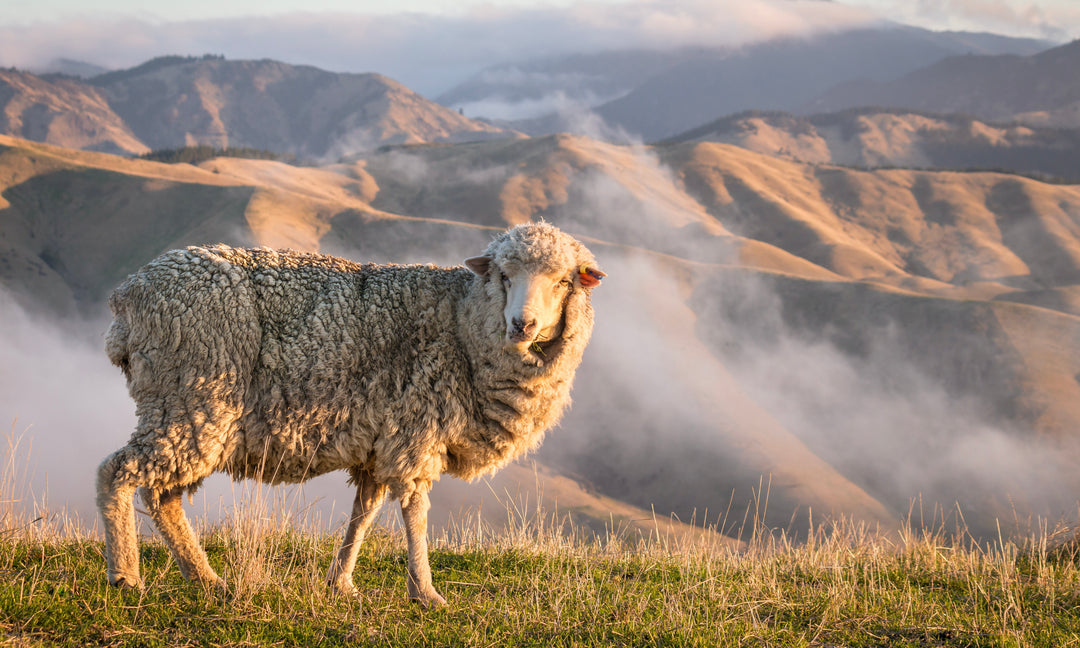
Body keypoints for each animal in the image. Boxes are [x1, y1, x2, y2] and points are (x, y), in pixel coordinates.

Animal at [97, 221, 604, 600]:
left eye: (563, 281)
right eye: (503, 276)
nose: (523, 325)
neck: (462, 323)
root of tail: (126, 298)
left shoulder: (381, 440)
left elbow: (365, 512)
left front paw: (341, 581)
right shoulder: (416, 429)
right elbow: (415, 511)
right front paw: (425, 592)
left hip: (187, 411)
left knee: (162, 496)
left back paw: (205, 578)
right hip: (193, 399)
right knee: (117, 472)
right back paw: (126, 575)